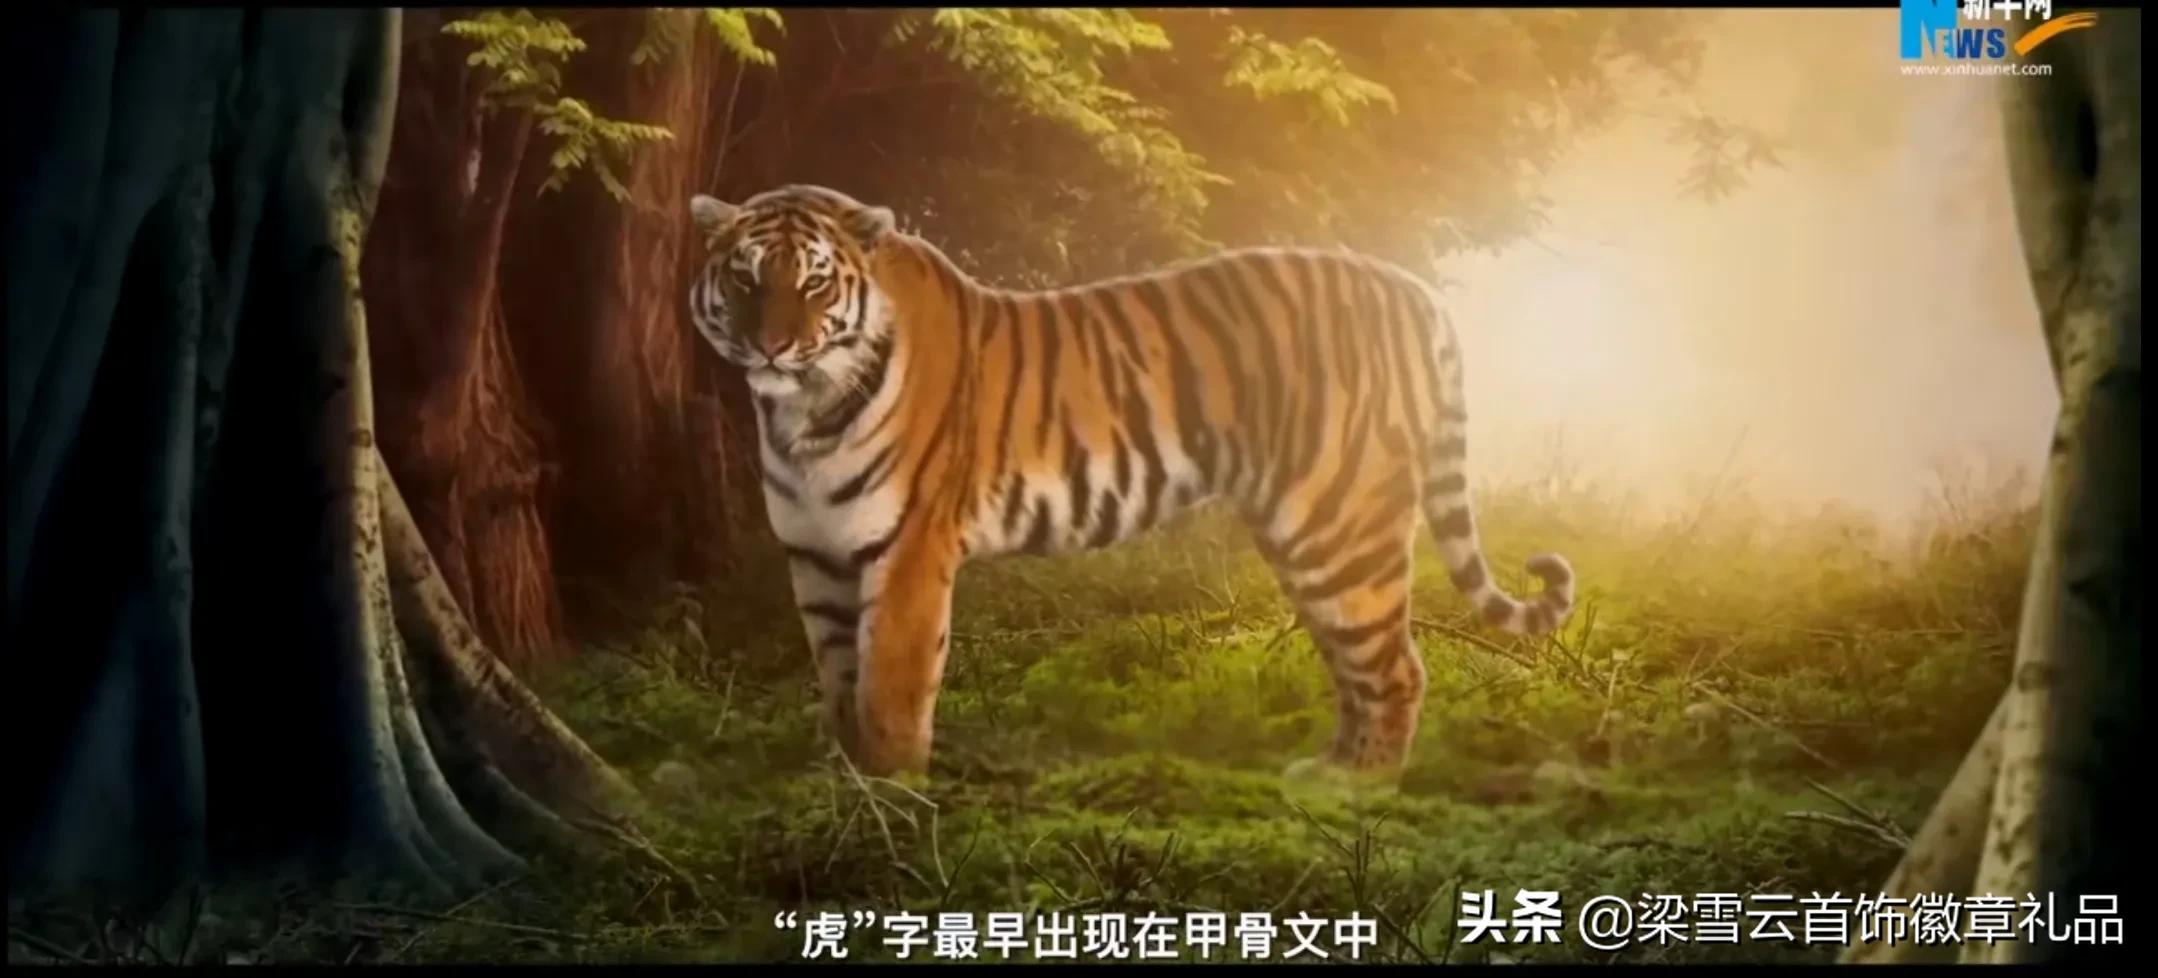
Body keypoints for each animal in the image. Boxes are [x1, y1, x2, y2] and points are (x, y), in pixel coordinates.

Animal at [686, 183, 1576, 782]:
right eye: (744, 279)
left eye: (814, 282)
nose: (771, 348)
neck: (800, 414)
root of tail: (1410, 290)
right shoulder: (816, 557)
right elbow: (839, 685)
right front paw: (840, 787)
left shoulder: (908, 553)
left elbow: (890, 692)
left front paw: (891, 801)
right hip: (1309, 538)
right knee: (1358, 660)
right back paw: (1324, 771)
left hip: (1340, 520)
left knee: (1396, 668)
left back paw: (1357, 788)